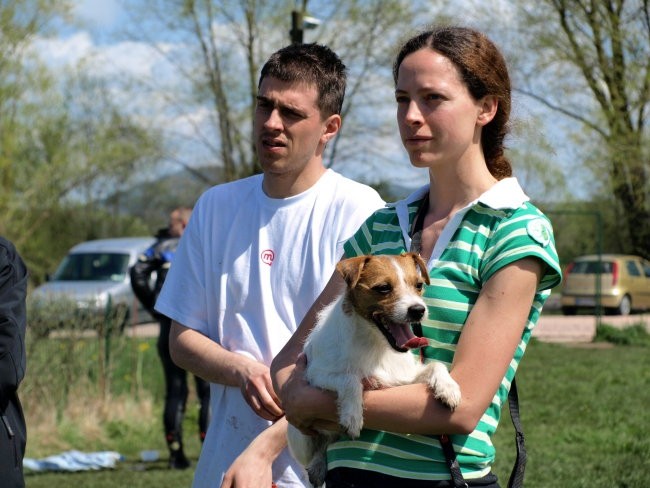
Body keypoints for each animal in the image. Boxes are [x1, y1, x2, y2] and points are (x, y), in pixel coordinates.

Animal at [286, 254, 458, 486]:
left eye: (419, 285)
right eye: (383, 288)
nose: (418, 310)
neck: (375, 344)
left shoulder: (404, 379)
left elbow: (435, 365)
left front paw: (448, 388)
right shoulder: (314, 375)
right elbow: (350, 379)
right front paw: (353, 415)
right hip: (300, 435)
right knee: (317, 448)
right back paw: (317, 465)